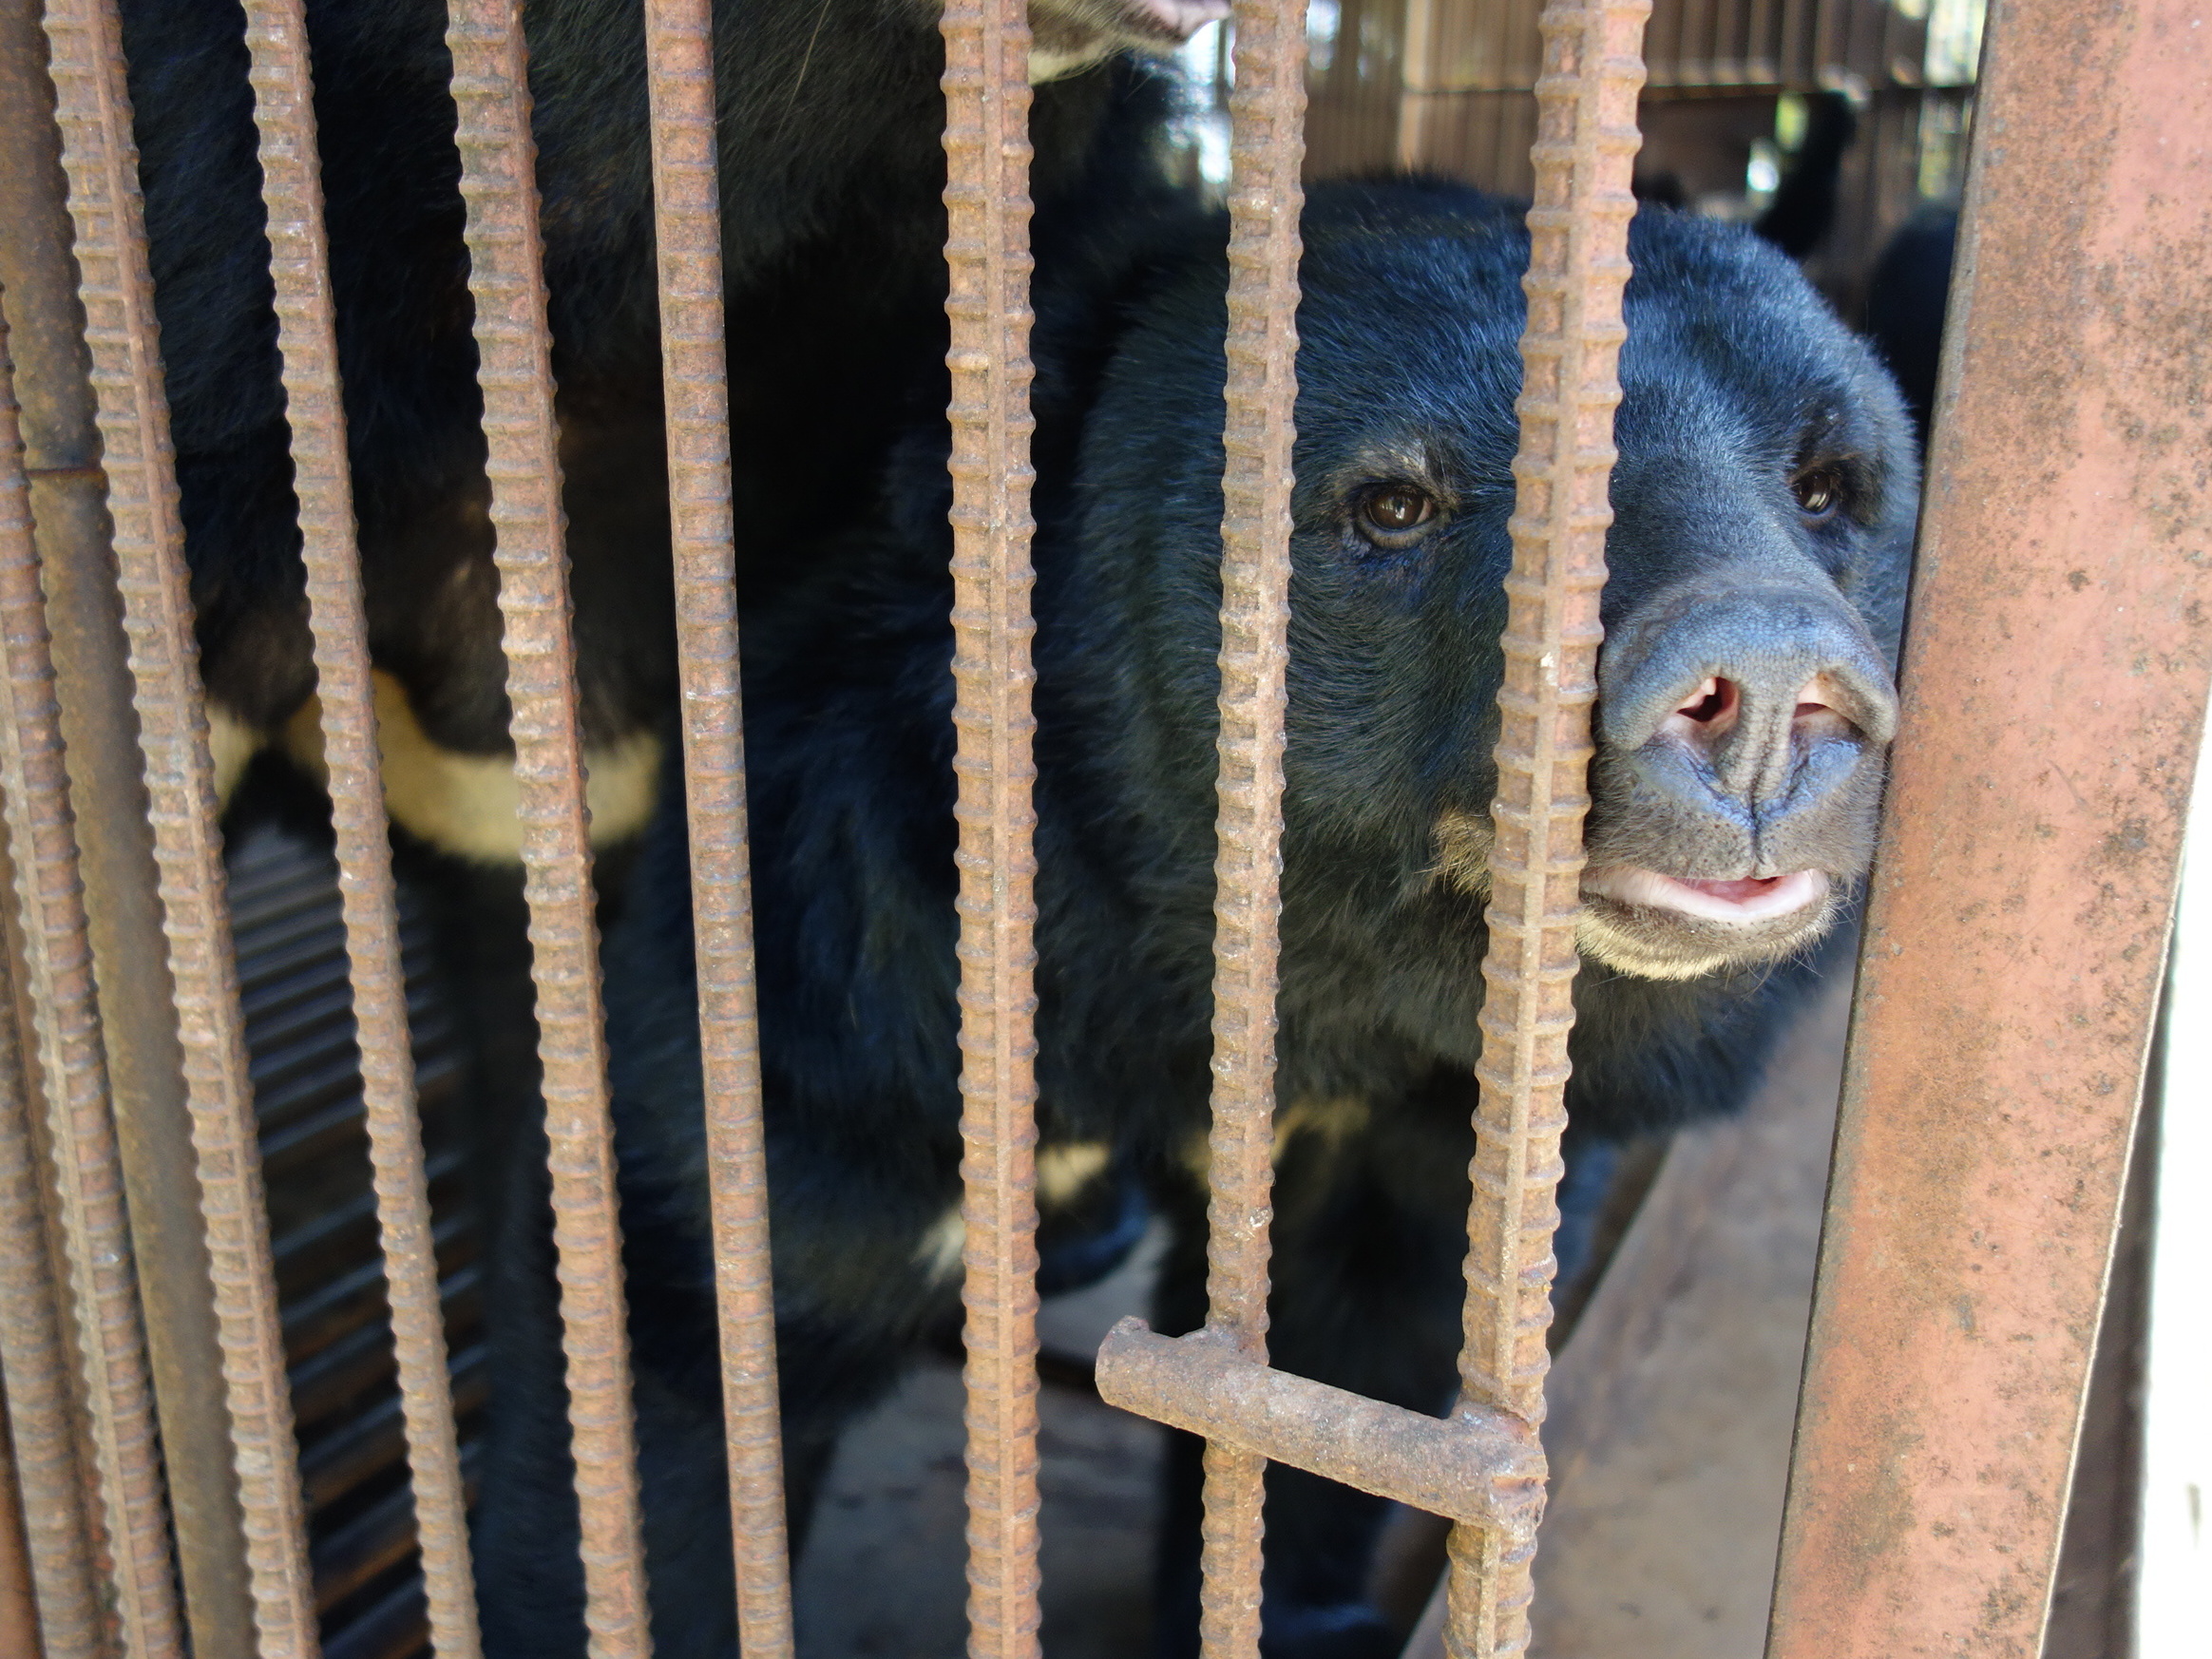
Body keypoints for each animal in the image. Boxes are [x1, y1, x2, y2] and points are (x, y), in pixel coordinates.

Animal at [475, 181, 1929, 1659]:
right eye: (1394, 503)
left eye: (1830, 486)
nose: (1765, 684)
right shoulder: (839, 977)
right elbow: (695, 1345)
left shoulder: (1406, 1130)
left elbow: (1352, 1369)